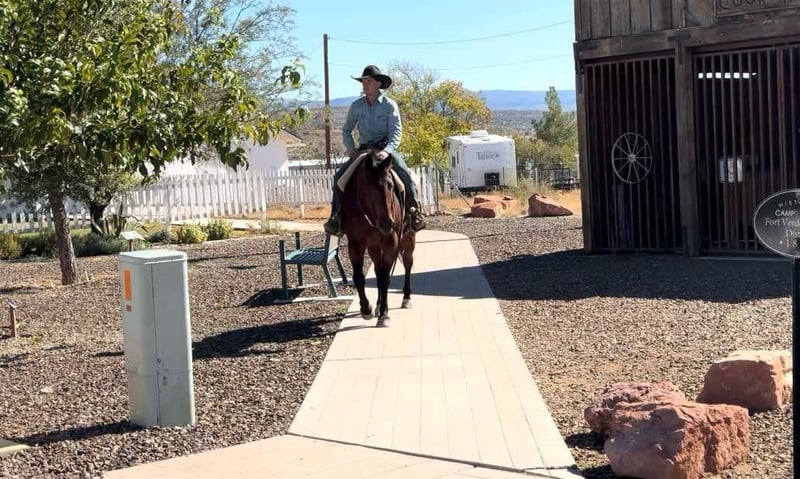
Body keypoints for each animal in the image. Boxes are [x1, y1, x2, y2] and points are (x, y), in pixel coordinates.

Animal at [341, 150, 416, 327]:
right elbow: (359, 277)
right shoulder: (355, 244)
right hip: (374, 247)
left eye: (391, 186)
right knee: (377, 268)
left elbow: (384, 278)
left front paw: (384, 315)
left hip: (408, 239)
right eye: (369, 187)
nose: (388, 223)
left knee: (408, 264)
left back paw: (406, 298)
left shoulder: (392, 243)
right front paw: (366, 309)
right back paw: (376, 305)